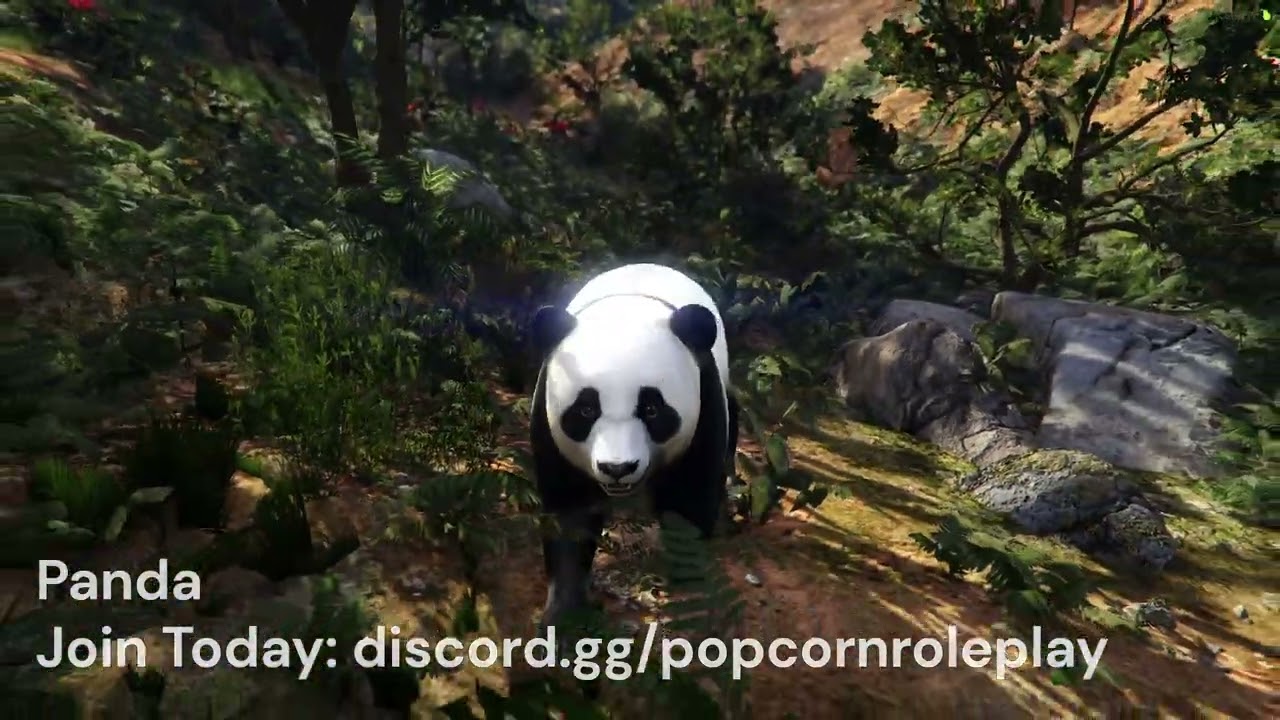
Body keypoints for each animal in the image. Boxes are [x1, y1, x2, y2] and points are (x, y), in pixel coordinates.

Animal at [528, 263, 740, 632]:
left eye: (652, 409)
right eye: (586, 409)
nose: (618, 468)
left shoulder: (704, 401)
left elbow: (688, 512)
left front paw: (694, 614)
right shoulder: (548, 419)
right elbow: (570, 517)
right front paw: (566, 620)